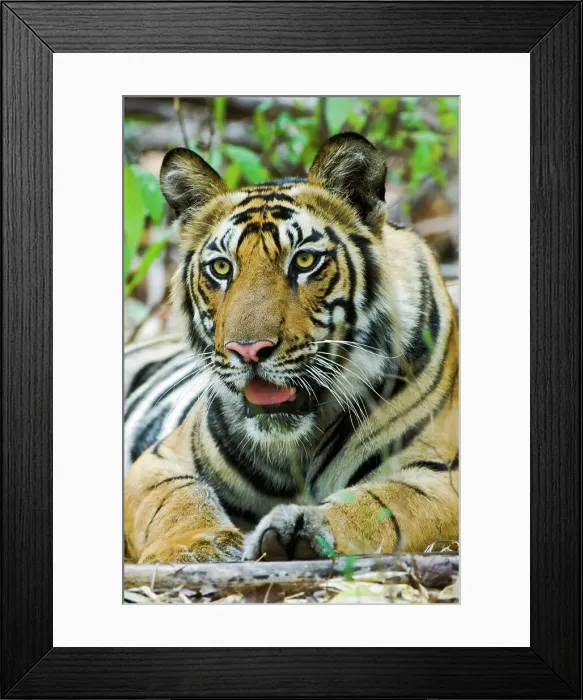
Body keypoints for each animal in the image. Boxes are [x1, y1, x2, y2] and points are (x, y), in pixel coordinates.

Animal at [124, 132, 459, 564]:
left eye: (303, 261)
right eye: (221, 268)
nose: (249, 351)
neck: (295, 448)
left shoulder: (440, 474)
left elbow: (383, 502)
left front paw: (303, 530)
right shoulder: (158, 460)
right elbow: (175, 501)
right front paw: (195, 546)